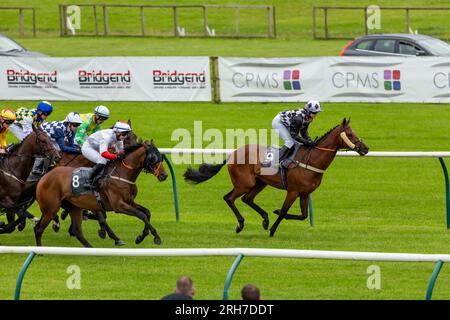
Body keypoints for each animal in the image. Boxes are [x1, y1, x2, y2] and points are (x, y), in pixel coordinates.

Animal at [33, 141, 169, 248]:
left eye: (161, 157)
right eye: (153, 158)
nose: (164, 175)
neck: (122, 174)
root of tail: (45, 177)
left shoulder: (130, 201)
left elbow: (147, 213)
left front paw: (141, 237)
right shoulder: (119, 206)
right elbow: (141, 215)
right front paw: (156, 237)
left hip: (73, 206)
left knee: (77, 230)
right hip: (51, 208)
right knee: (38, 228)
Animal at [184, 119, 370, 236]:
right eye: (350, 134)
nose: (365, 148)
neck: (311, 159)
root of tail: (232, 154)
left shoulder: (305, 193)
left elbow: (303, 215)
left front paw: (273, 216)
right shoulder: (293, 191)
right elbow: (285, 211)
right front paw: (273, 228)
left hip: (260, 183)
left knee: (247, 199)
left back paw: (265, 219)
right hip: (245, 183)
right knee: (229, 198)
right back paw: (241, 224)